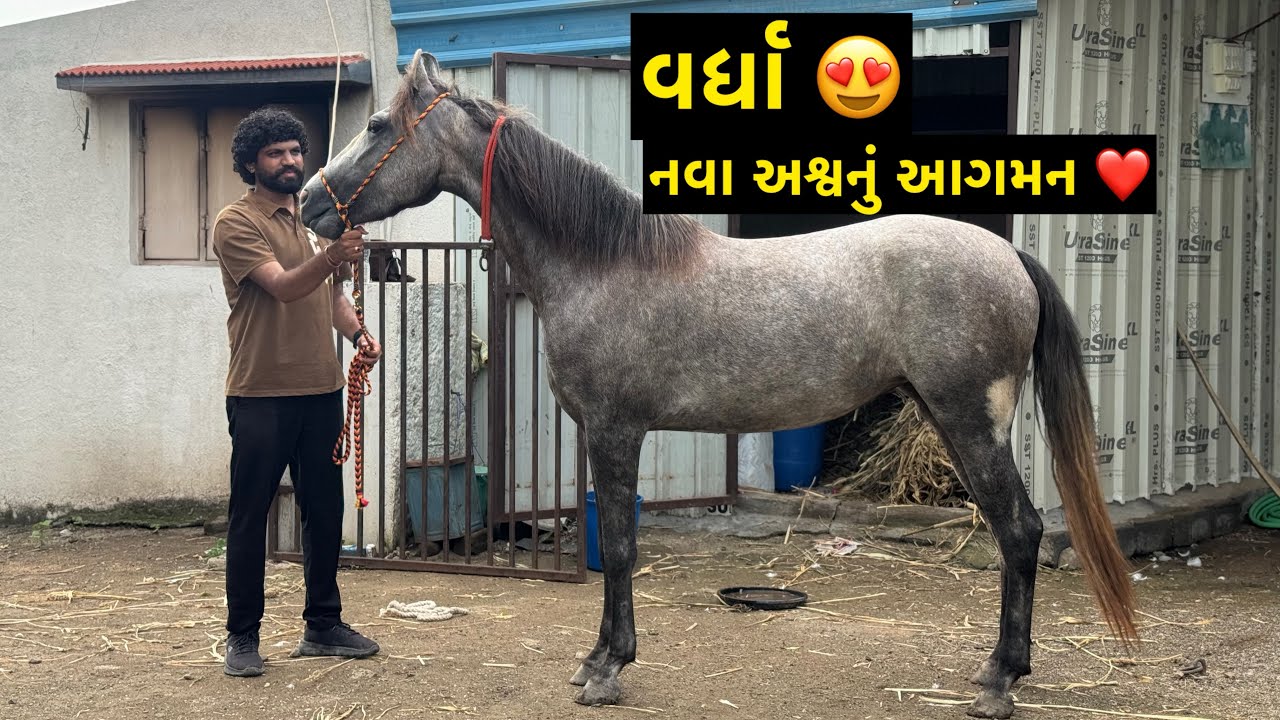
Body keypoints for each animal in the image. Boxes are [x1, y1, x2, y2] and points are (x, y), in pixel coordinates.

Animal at [300, 49, 1139, 720]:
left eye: (377, 126)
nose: (309, 201)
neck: (603, 264)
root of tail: (1009, 258)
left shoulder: (616, 431)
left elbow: (624, 547)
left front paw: (609, 670)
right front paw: (596, 659)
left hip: (970, 420)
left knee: (1020, 532)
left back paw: (998, 682)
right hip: (947, 416)